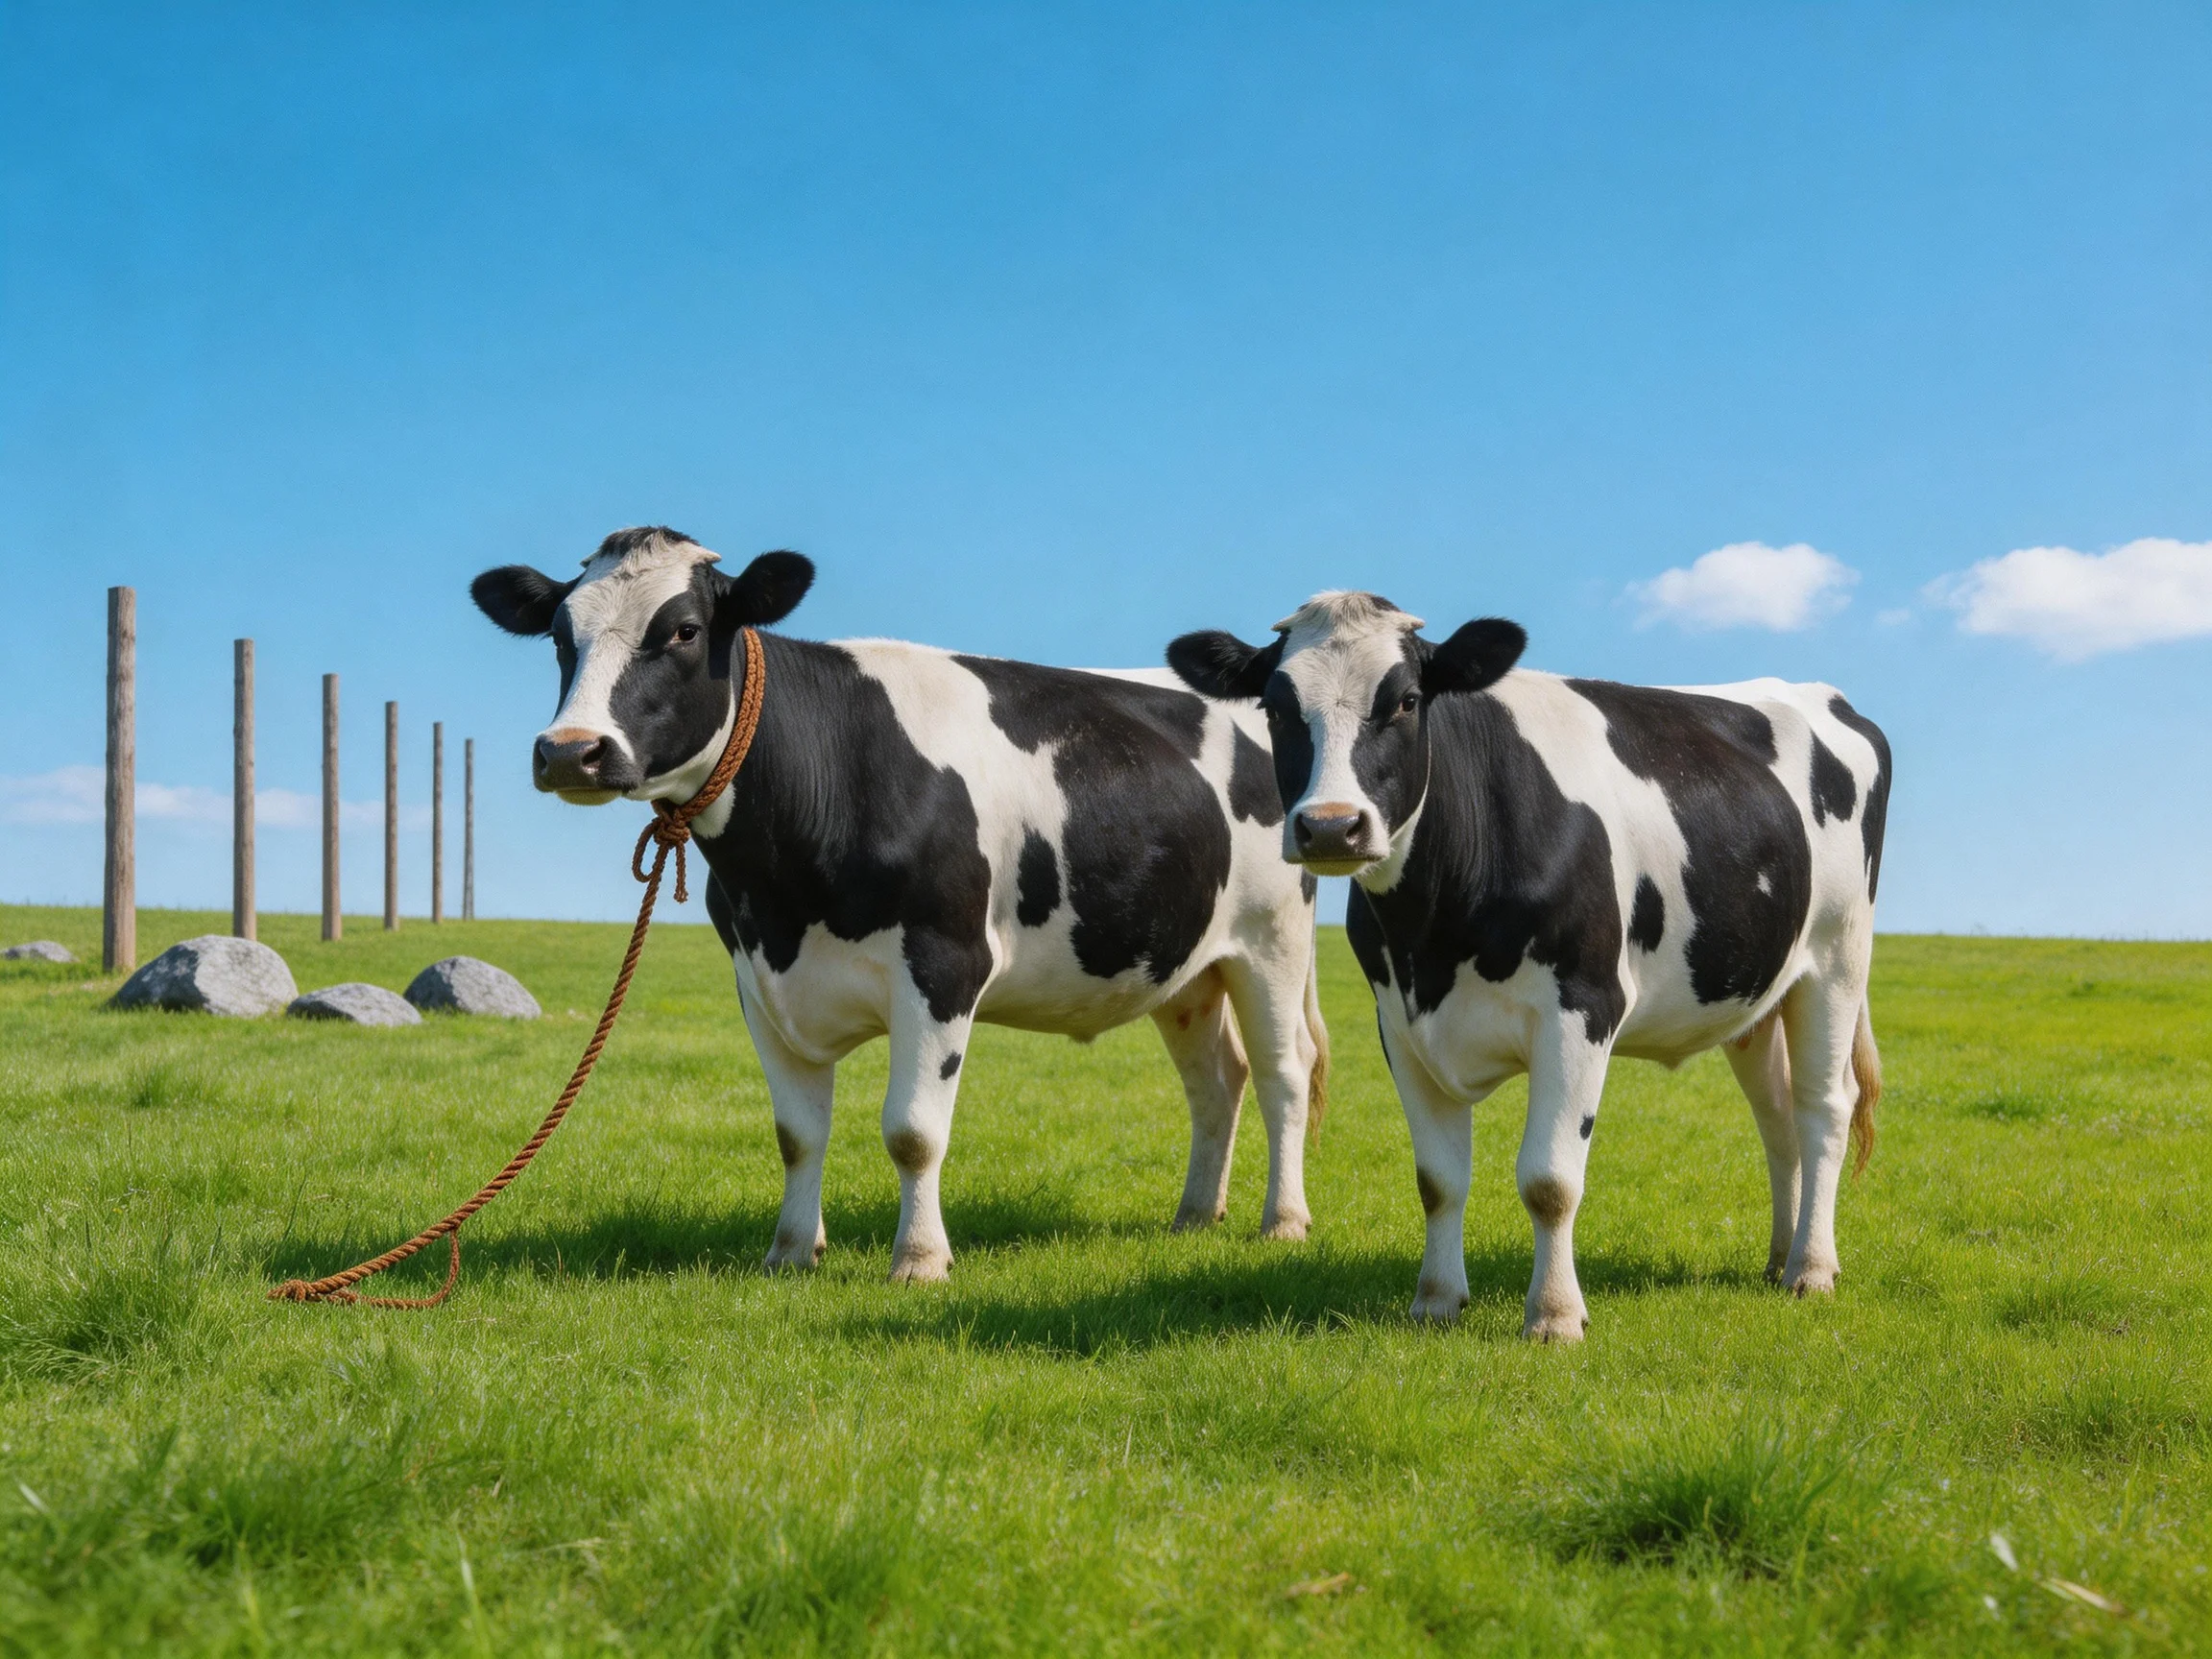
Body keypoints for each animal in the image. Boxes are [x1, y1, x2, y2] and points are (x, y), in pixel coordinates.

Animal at [470, 527, 1328, 1282]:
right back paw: (1195, 1215)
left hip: (1272, 943)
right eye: (560, 638)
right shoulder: (758, 979)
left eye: (682, 630)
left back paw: (1283, 1221)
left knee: (1284, 1072)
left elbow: (914, 1133)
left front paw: (918, 1260)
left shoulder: (943, 965)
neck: (784, 890)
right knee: (1216, 1078)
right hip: (1184, 965)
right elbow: (796, 1135)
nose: (571, 751)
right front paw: (790, 1252)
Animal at [1168, 591, 1890, 1341]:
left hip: (1836, 962)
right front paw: (1436, 1300)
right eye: (1276, 709)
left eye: (1407, 700)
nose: (1333, 826)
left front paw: (1554, 1315)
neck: (1436, 933)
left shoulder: (1583, 1008)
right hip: (1756, 990)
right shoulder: (1399, 1023)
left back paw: (1811, 1269)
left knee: (1822, 1109)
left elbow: (1549, 1181)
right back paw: (1780, 1256)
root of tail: (1823, 696)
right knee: (1777, 1114)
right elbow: (1438, 1180)